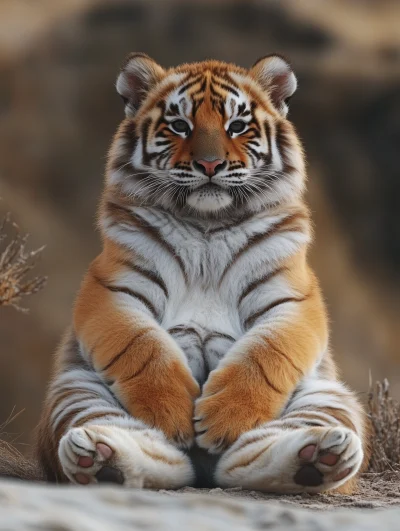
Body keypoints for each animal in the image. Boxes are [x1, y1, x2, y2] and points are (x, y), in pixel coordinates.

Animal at [32, 54, 368, 494]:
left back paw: (320, 457)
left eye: (237, 126)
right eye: (179, 125)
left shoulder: (292, 299)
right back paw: (101, 458)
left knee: (243, 463)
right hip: (74, 389)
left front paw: (226, 419)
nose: (210, 164)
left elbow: (266, 354)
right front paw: (171, 414)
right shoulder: (112, 289)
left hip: (327, 395)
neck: (208, 226)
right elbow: (141, 347)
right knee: (162, 459)